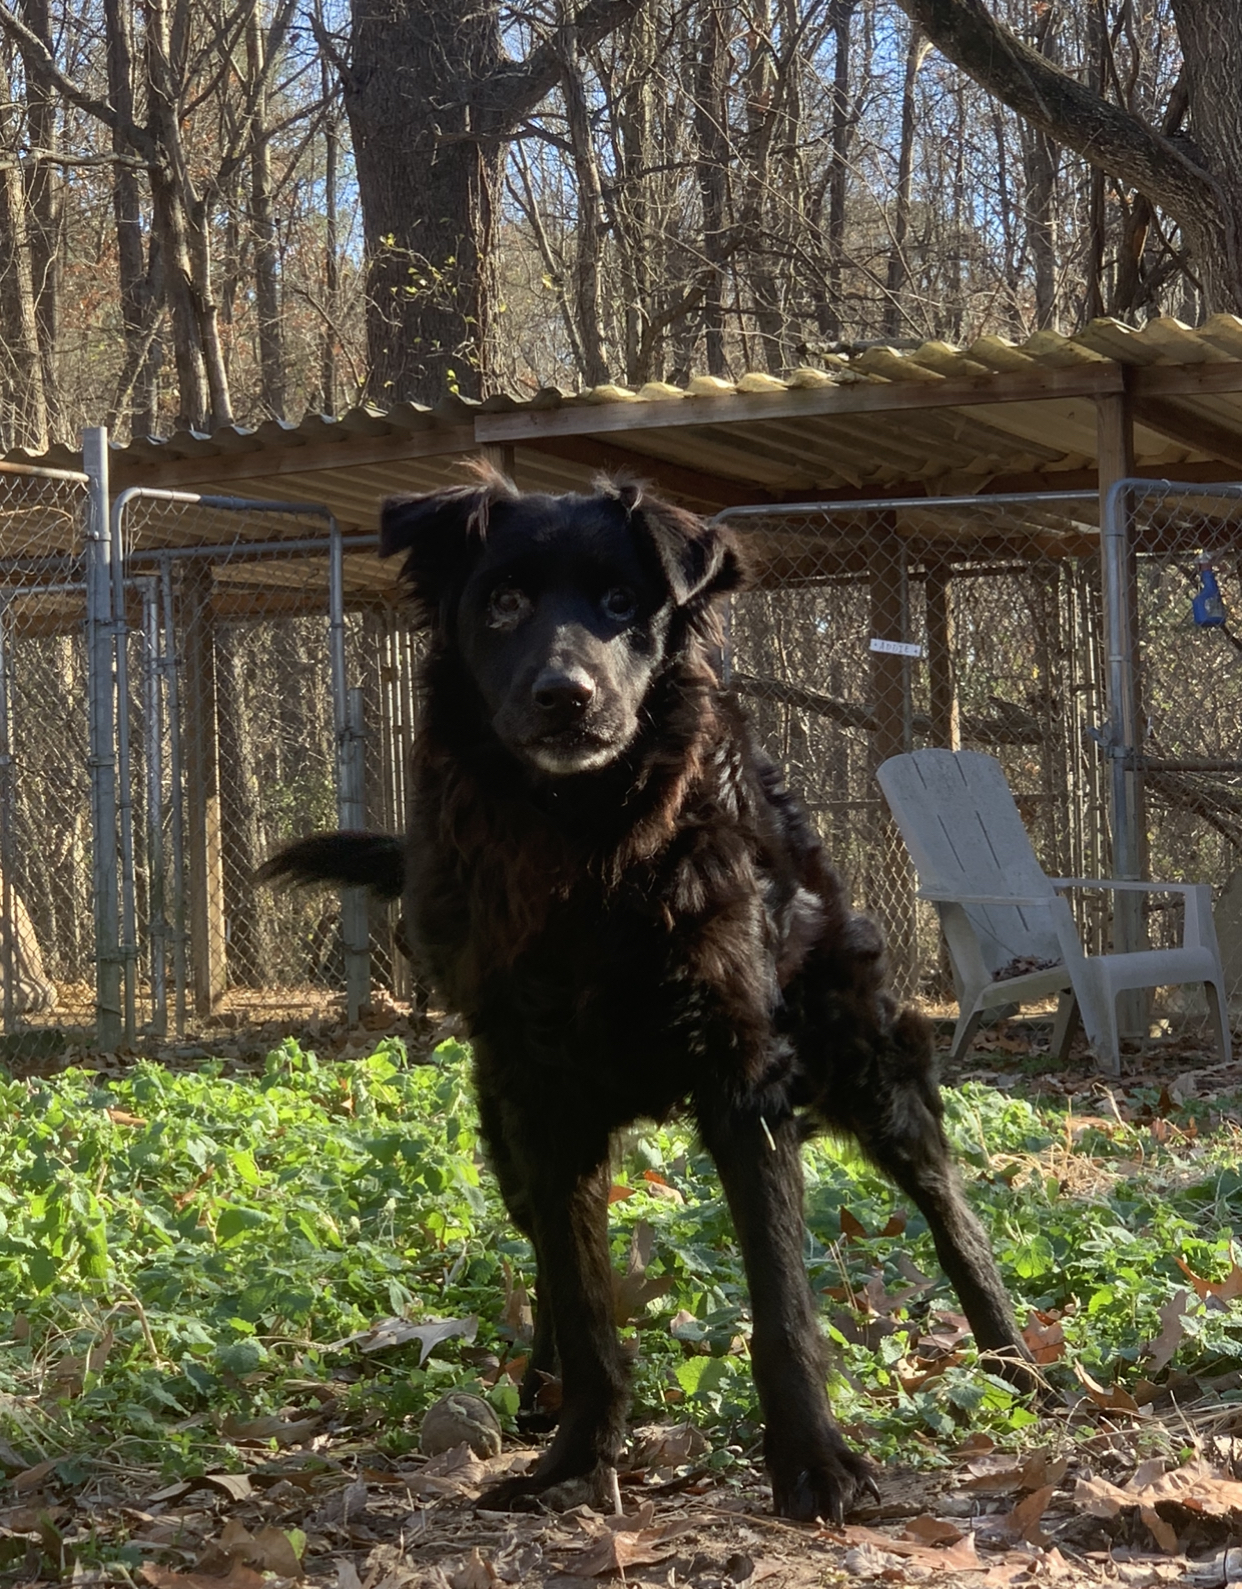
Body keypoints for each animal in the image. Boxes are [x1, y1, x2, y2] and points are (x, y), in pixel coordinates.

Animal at [262, 467, 1029, 1512]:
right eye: (503, 601)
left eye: (623, 602)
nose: (564, 694)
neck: (583, 844)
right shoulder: (538, 1095)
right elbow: (582, 1292)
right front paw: (579, 1454)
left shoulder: (746, 1078)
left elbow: (783, 1304)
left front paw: (813, 1460)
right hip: (506, 1134)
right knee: (548, 1259)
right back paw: (540, 1390)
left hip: (869, 1063)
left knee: (950, 1206)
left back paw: (1014, 1359)